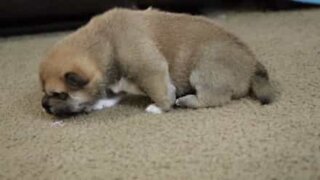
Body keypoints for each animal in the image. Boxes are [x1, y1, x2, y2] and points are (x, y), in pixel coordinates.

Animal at [39, 8, 276, 116]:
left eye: (59, 94)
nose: (43, 105)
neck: (105, 43)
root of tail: (253, 64)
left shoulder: (150, 70)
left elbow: (161, 91)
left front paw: (160, 107)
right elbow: (111, 94)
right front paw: (100, 103)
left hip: (203, 70)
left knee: (214, 98)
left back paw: (187, 101)